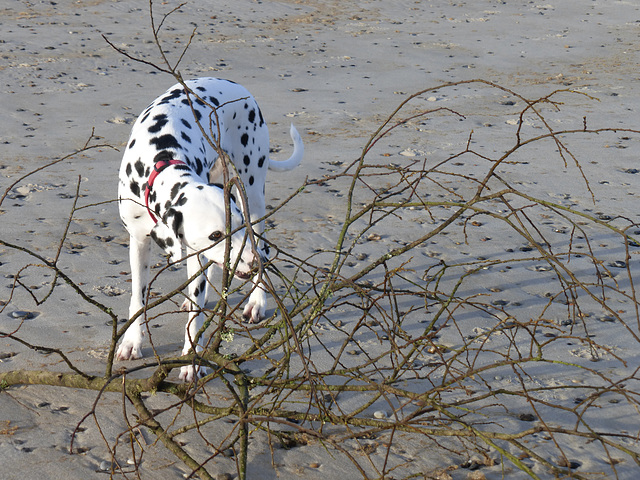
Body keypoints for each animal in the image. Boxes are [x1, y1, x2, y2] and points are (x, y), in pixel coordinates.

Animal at [115, 77, 304, 380]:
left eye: (237, 226)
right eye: (216, 234)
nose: (254, 265)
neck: (161, 161)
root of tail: (239, 88)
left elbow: (195, 318)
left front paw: (192, 361)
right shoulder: (139, 241)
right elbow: (137, 298)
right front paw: (132, 341)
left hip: (252, 194)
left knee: (261, 244)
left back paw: (257, 301)